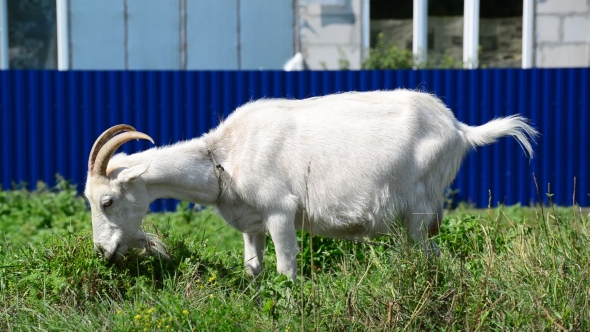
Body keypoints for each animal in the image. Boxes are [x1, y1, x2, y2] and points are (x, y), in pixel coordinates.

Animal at [84, 89, 540, 280]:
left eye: (107, 201)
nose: (102, 252)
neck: (223, 156)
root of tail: (460, 130)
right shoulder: (251, 224)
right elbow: (254, 270)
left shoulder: (280, 212)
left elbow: (287, 269)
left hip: (419, 209)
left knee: (430, 255)